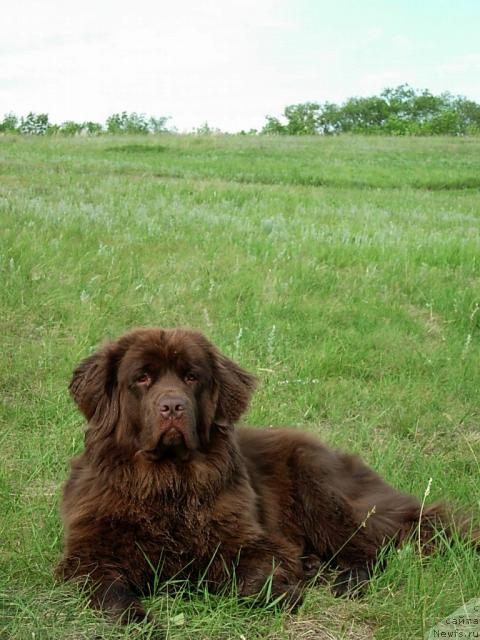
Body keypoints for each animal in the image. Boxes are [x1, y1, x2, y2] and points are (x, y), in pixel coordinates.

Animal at [56, 328, 468, 624]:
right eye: (142, 378)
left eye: (191, 377)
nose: (172, 406)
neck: (168, 482)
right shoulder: (88, 556)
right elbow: (112, 596)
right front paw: (140, 620)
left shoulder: (250, 542)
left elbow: (253, 576)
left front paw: (281, 594)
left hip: (321, 490)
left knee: (373, 550)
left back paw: (343, 581)